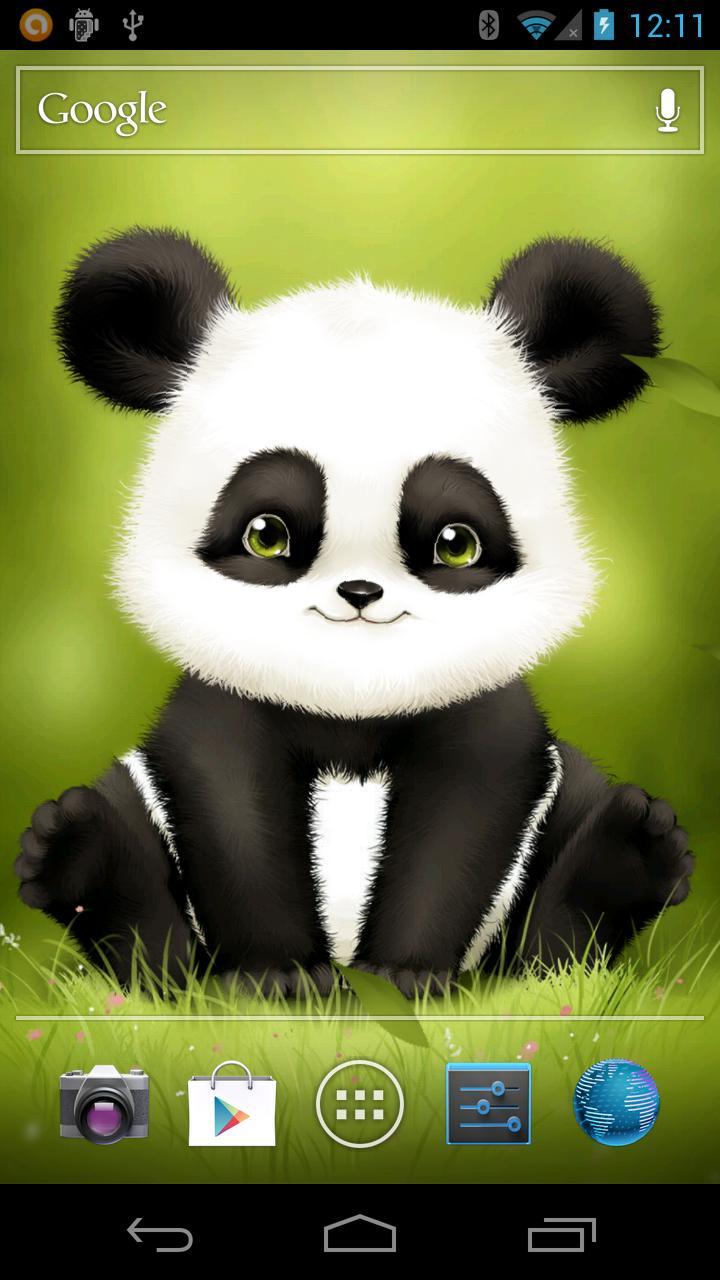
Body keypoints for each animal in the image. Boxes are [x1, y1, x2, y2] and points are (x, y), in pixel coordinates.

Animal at [14, 228, 694, 996]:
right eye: (268, 533)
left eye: (455, 543)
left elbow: (461, 819)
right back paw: (79, 856)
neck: (353, 703)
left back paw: (627, 857)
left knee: (558, 925)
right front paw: (276, 977)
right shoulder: (225, 701)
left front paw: (403, 975)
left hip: (562, 814)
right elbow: (231, 807)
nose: (360, 593)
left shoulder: (479, 709)